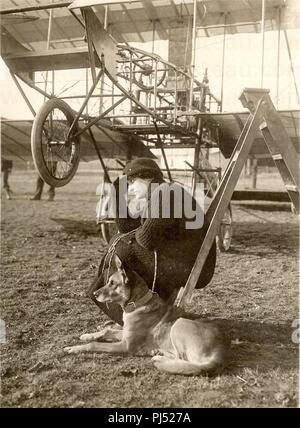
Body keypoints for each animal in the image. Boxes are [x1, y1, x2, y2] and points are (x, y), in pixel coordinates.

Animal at [64, 254, 229, 374]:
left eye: (112, 283)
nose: (94, 293)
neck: (137, 303)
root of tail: (221, 351)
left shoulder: (125, 345)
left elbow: (95, 344)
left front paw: (75, 348)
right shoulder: (124, 334)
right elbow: (107, 330)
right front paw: (87, 335)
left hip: (179, 324)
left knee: (189, 363)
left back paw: (161, 360)